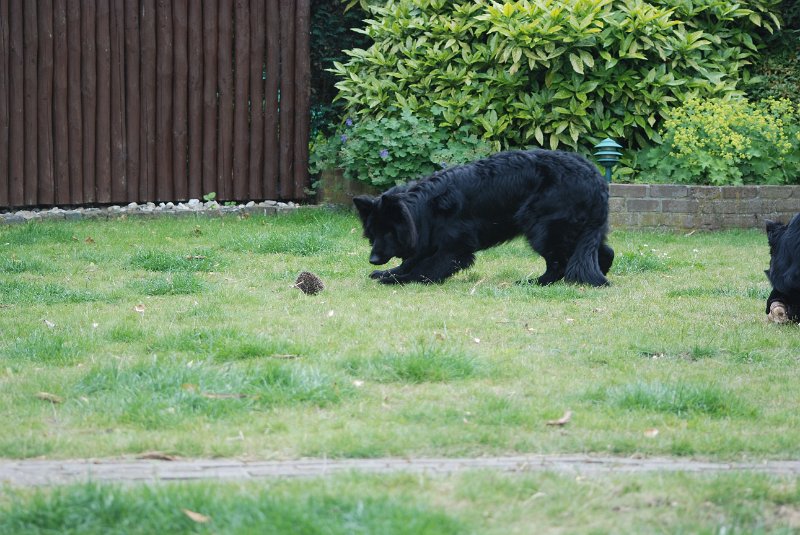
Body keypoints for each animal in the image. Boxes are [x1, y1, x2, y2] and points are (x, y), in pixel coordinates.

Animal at [354, 149, 616, 286]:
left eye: (389, 232)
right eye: (373, 233)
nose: (373, 259)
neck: (427, 207)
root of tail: (596, 179)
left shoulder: (455, 248)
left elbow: (426, 268)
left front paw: (399, 279)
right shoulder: (430, 239)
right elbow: (412, 260)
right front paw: (389, 273)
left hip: (542, 227)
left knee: (558, 263)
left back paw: (536, 282)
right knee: (603, 253)